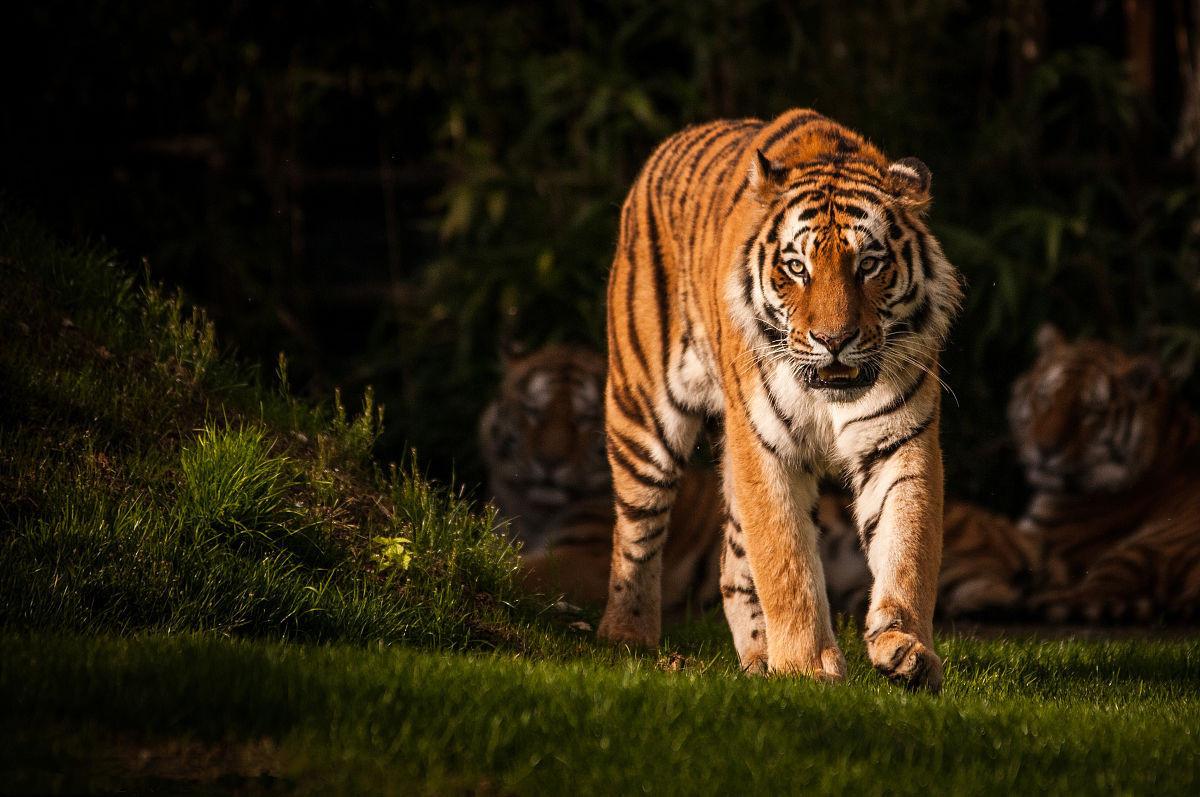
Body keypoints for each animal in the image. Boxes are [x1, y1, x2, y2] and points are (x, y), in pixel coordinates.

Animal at [477, 343, 720, 614]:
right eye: (532, 411)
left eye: (585, 418)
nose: (550, 461)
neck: (536, 513)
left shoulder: (588, 556)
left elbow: (522, 569)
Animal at [600, 107, 964, 691]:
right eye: (797, 267)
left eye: (869, 264)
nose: (834, 340)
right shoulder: (765, 448)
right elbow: (785, 561)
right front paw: (807, 667)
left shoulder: (900, 443)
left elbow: (908, 547)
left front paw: (906, 650)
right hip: (643, 416)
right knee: (636, 531)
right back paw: (626, 635)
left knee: (731, 564)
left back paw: (757, 658)